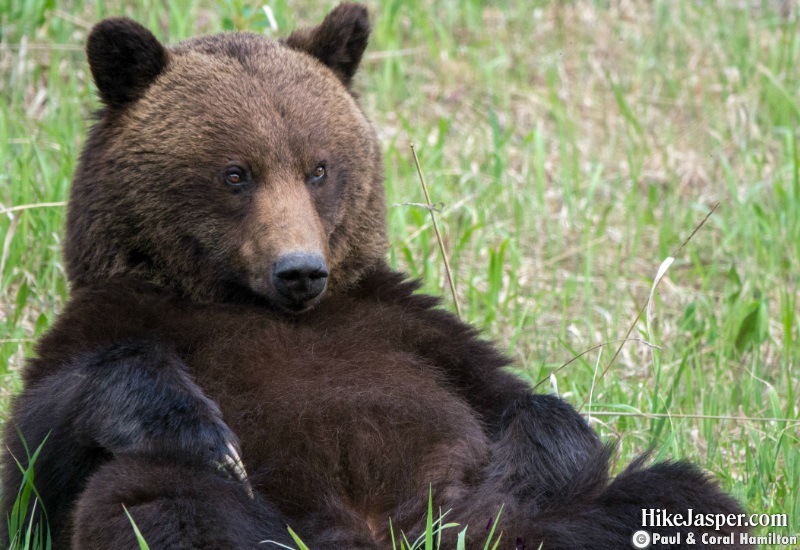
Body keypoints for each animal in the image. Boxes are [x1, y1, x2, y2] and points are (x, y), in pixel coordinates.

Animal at [1, 4, 750, 549]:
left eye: (318, 167)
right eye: (235, 173)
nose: (300, 271)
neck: (245, 300)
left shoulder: (407, 324)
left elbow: (522, 404)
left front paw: (525, 467)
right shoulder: (117, 314)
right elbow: (33, 453)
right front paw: (200, 429)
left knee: (671, 498)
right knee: (154, 501)